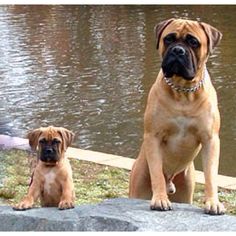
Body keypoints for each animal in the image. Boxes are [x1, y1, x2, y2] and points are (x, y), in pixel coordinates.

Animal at [129, 18, 225, 215]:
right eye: (168, 39)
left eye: (194, 42)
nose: (177, 50)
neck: (183, 92)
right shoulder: (154, 136)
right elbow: (157, 172)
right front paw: (159, 199)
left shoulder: (211, 139)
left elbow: (211, 174)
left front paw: (213, 202)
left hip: (186, 187)